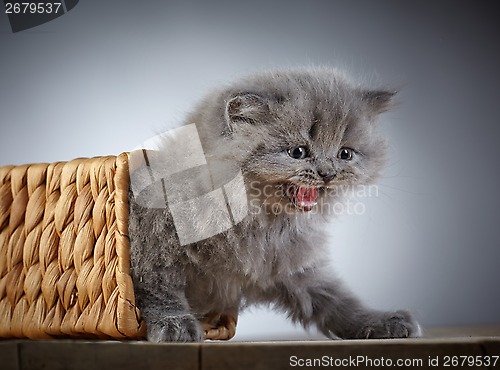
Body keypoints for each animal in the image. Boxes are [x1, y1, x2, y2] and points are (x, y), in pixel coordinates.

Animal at [129, 66, 422, 342]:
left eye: (345, 154)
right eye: (298, 152)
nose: (328, 173)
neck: (260, 222)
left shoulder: (289, 267)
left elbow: (336, 300)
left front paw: (379, 320)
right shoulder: (151, 245)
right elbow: (158, 289)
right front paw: (175, 324)